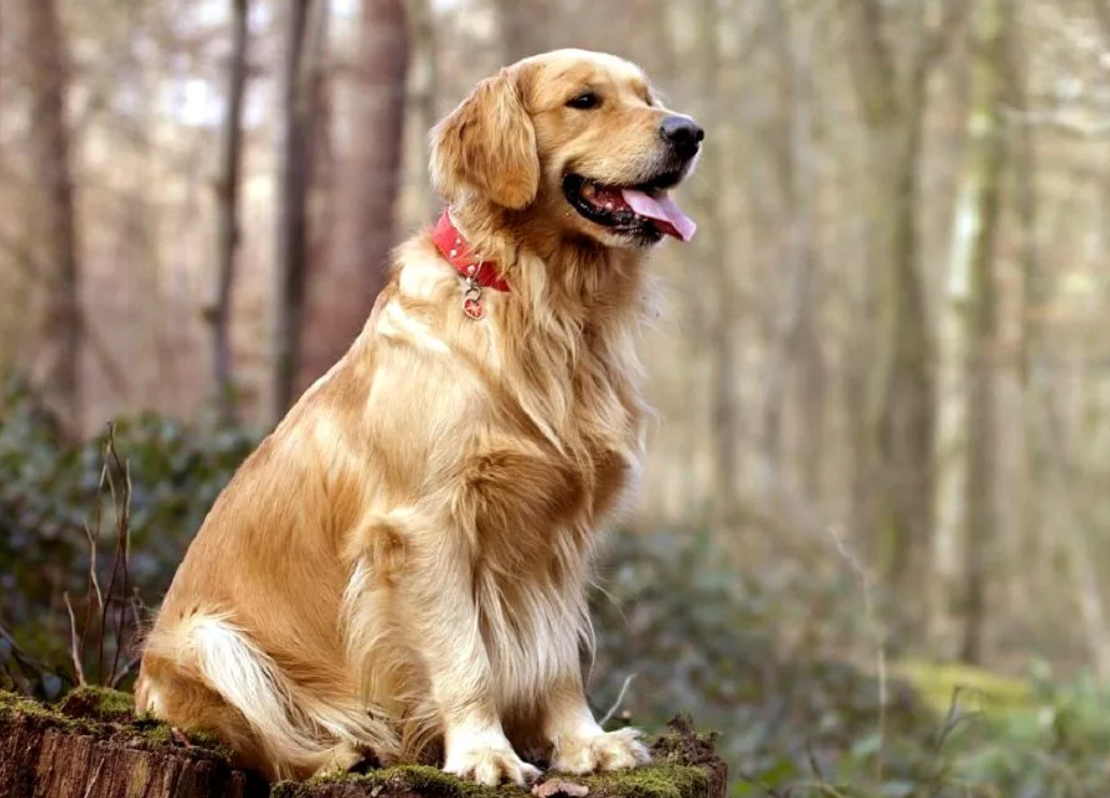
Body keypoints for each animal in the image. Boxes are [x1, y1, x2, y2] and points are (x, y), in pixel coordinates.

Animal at [132, 49, 701, 785]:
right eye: (584, 100)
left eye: (647, 96)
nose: (689, 132)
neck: (541, 301)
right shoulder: (426, 525)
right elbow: (466, 659)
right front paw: (486, 753)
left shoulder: (558, 532)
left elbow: (557, 658)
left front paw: (584, 743)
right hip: (209, 641)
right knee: (259, 740)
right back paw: (346, 747)